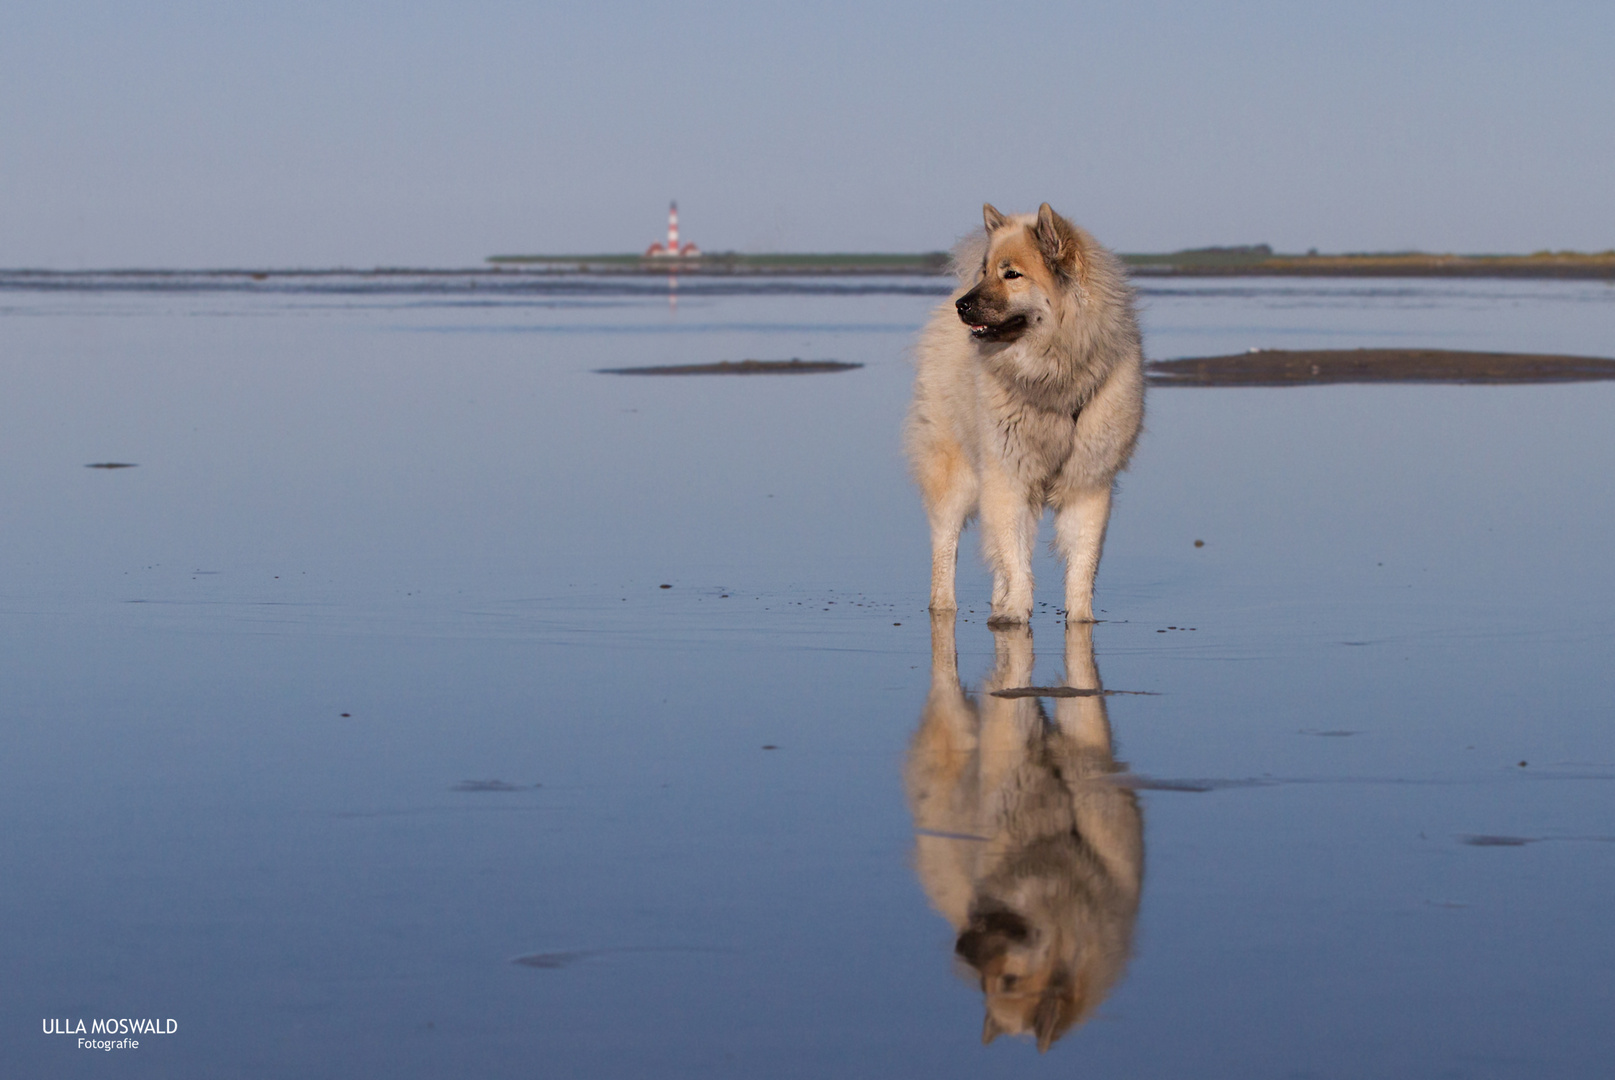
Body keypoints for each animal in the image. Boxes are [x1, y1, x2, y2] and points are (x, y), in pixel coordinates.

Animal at [904, 203, 1143, 623]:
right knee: (945, 544)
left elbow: (1081, 563)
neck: (1053, 379)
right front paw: (1015, 614)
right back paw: (945, 607)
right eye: (984, 271)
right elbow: (1014, 556)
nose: (963, 305)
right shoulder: (1007, 478)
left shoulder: (1088, 483)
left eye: (1011, 274)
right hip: (954, 473)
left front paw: (1081, 619)